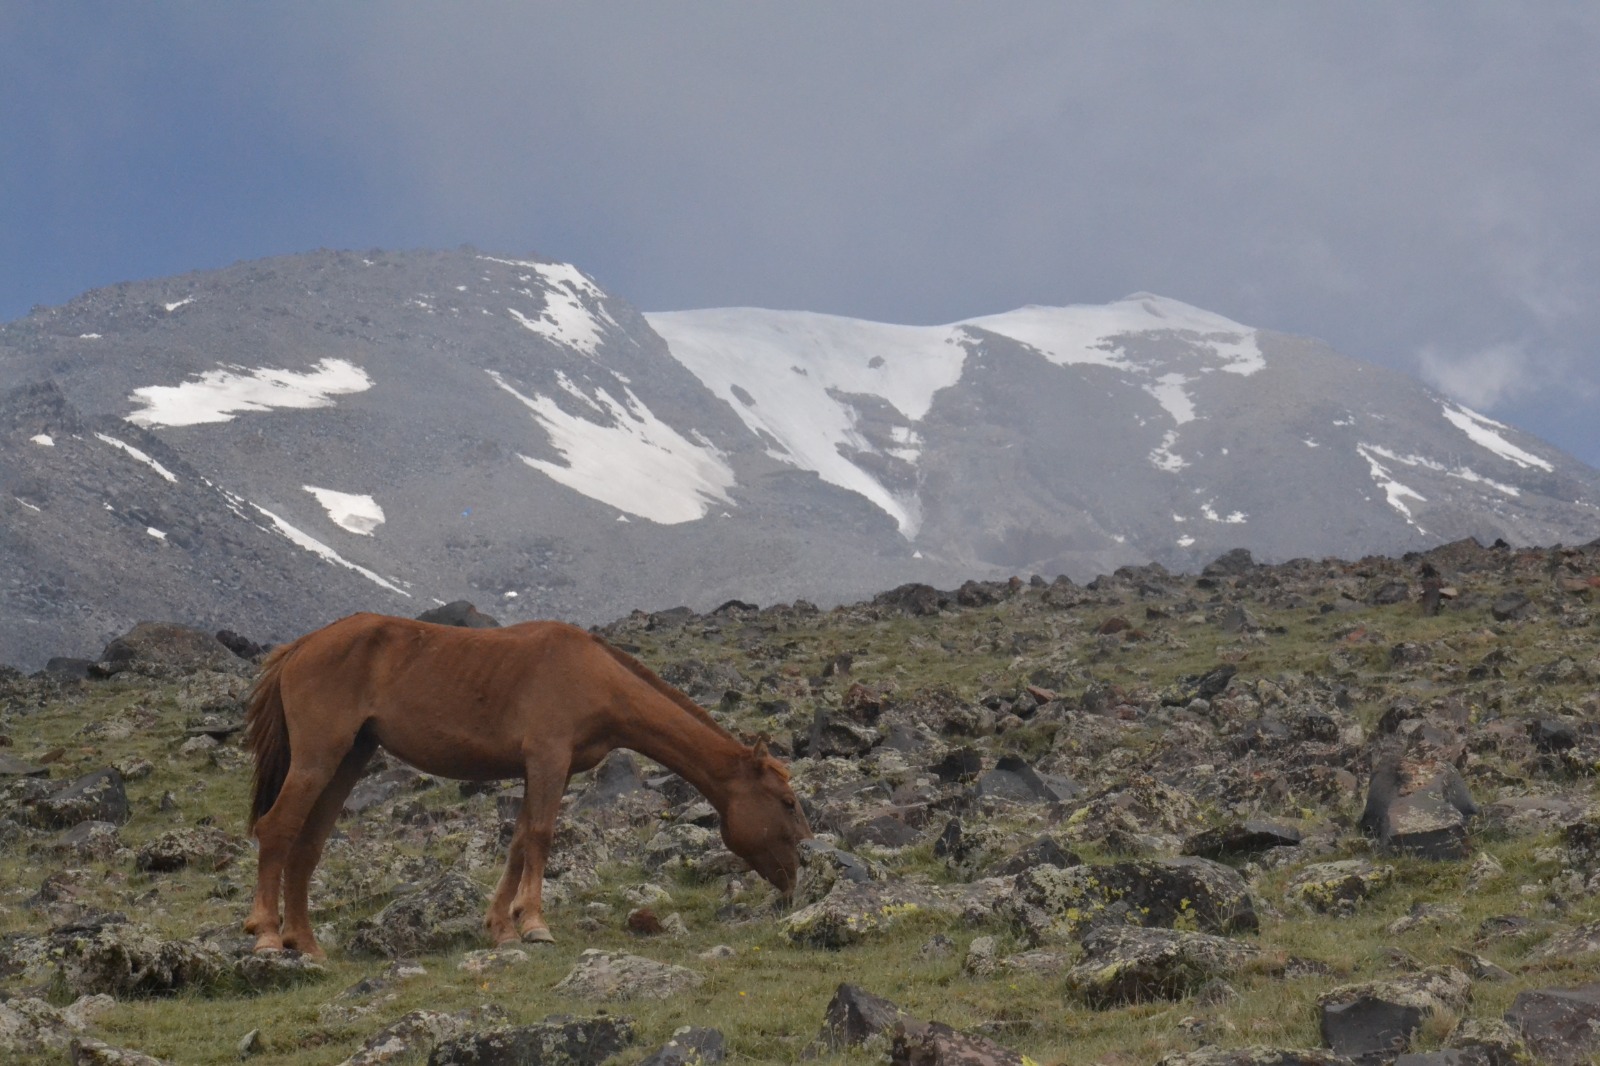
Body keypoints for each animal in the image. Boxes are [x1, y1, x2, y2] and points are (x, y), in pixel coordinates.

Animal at [243, 611, 812, 947]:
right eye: (786, 802)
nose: (795, 882)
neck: (593, 674)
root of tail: (301, 646)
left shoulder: (540, 770)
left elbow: (518, 844)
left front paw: (501, 926)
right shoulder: (547, 760)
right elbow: (539, 837)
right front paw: (535, 924)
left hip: (348, 761)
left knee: (307, 848)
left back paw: (307, 946)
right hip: (318, 759)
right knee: (276, 830)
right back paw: (267, 934)